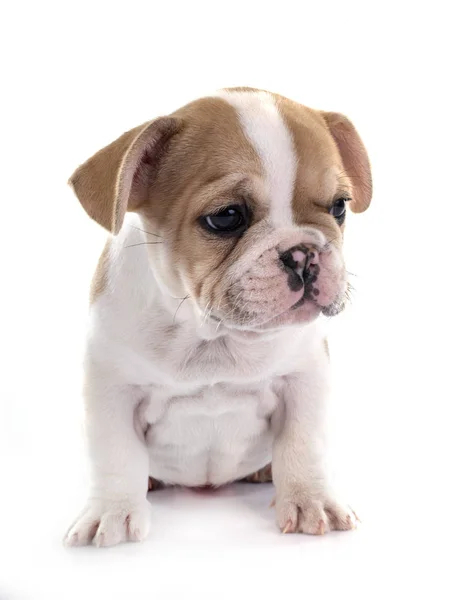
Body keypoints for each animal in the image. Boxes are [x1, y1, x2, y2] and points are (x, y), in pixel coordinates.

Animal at [63, 86, 372, 548]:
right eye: (226, 216)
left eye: (340, 207)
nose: (303, 252)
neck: (211, 335)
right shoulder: (111, 389)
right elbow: (116, 454)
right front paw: (113, 512)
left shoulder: (304, 378)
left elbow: (303, 443)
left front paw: (311, 499)